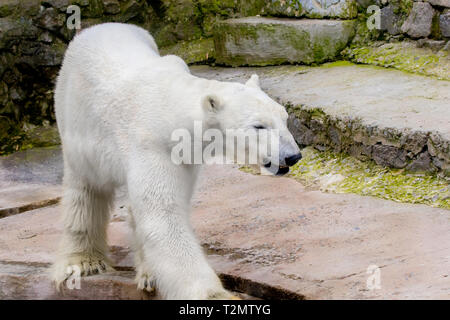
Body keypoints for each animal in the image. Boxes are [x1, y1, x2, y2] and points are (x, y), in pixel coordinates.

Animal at [51, 23, 300, 300]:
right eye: (259, 126)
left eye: (284, 118)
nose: (292, 155)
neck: (167, 108)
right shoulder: (151, 145)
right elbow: (164, 216)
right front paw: (215, 295)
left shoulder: (184, 158)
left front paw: (151, 273)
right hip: (75, 120)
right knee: (85, 190)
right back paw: (84, 262)